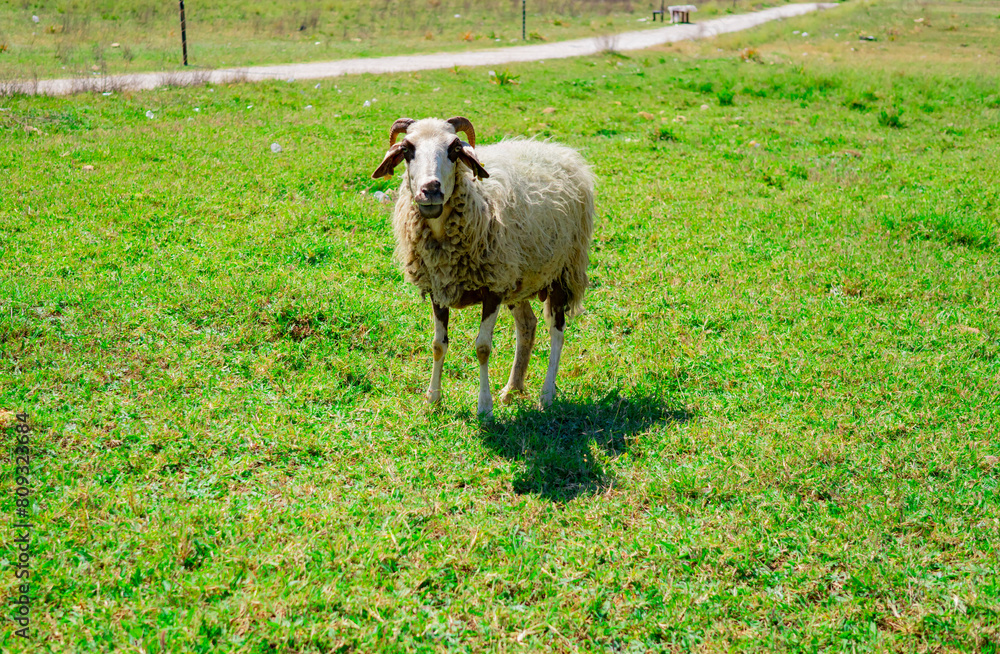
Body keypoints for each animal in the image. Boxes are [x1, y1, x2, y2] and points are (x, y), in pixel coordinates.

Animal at [372, 116, 594, 419]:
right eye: (406, 149)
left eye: (454, 149)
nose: (431, 190)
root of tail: (559, 150)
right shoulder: (439, 287)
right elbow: (438, 345)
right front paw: (433, 399)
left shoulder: (493, 288)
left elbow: (483, 348)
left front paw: (484, 407)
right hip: (519, 278)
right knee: (527, 326)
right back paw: (512, 389)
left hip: (562, 270)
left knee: (556, 330)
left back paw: (546, 395)